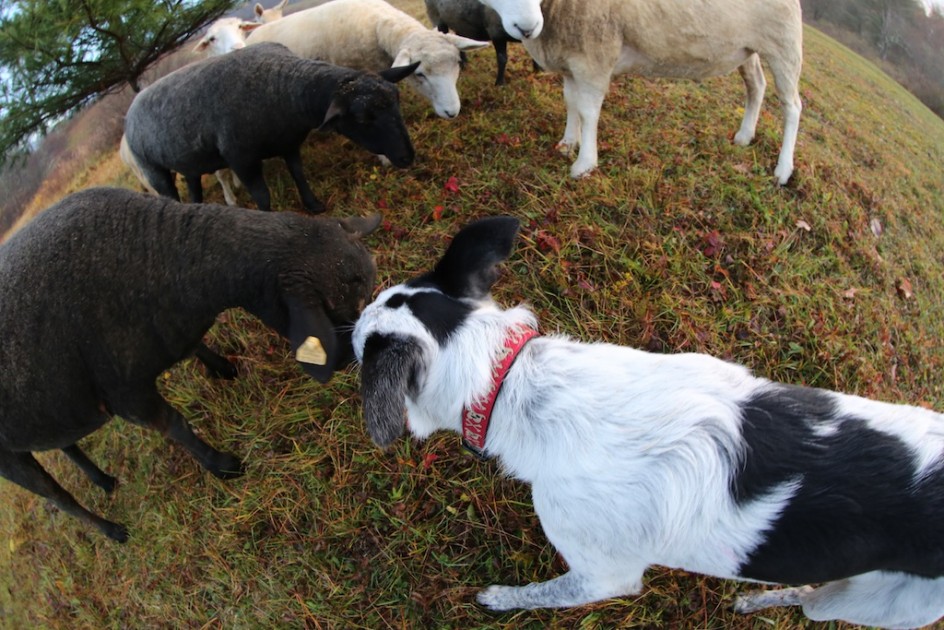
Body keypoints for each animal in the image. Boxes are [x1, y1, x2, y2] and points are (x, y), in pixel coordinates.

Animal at [352, 218, 944, 630]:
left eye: (359, 347)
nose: (347, 322)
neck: (518, 380)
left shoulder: (603, 573)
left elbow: (544, 593)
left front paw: (500, 599)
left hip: (889, 603)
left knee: (821, 606)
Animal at [484, 0, 800, 185]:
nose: (527, 27)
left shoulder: (593, 56)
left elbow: (588, 111)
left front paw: (585, 164)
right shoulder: (571, 57)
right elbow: (571, 102)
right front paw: (567, 143)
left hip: (784, 44)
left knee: (792, 106)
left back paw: (783, 170)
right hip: (747, 49)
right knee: (756, 85)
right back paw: (745, 136)